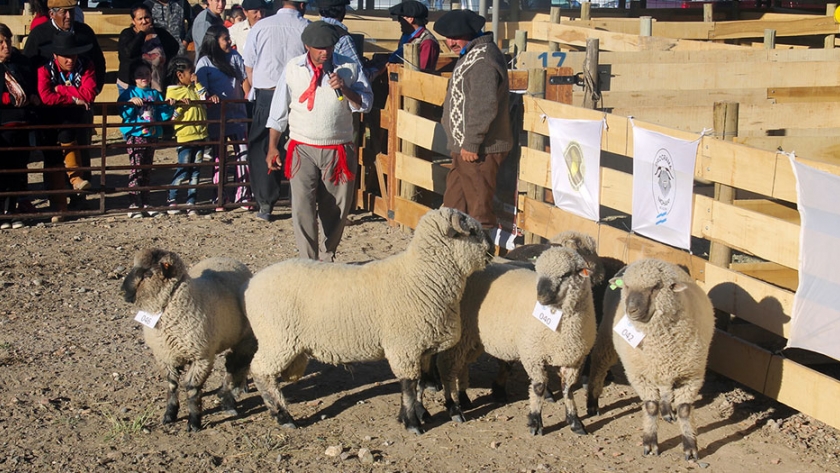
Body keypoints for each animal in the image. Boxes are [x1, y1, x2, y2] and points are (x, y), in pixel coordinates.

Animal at [120, 251, 254, 432]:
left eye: (148, 273)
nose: (122, 292)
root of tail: (229, 258)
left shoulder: (201, 358)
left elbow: (192, 390)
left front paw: (194, 422)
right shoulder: (164, 356)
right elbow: (172, 385)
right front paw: (169, 415)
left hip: (243, 337)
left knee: (237, 365)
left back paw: (235, 393)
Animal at [241, 206, 492, 432]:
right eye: (471, 231)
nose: (491, 249)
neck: (422, 276)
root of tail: (251, 285)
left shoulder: (421, 348)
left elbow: (419, 383)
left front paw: (419, 413)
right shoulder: (404, 347)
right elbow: (408, 387)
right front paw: (411, 422)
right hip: (278, 339)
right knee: (261, 372)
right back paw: (283, 416)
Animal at [434, 247, 596, 436]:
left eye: (566, 274)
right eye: (538, 272)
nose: (541, 297)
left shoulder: (575, 359)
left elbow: (568, 389)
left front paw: (575, 422)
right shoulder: (532, 354)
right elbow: (538, 387)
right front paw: (535, 422)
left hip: (473, 338)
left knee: (461, 365)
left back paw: (463, 398)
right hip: (460, 335)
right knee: (447, 367)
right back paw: (454, 408)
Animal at [584, 258, 716, 460]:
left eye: (656, 287)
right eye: (626, 286)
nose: (631, 310)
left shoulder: (691, 375)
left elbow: (685, 410)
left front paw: (690, 446)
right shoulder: (639, 375)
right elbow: (651, 407)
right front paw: (650, 442)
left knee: (665, 387)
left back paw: (667, 410)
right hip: (607, 335)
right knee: (599, 362)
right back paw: (592, 402)